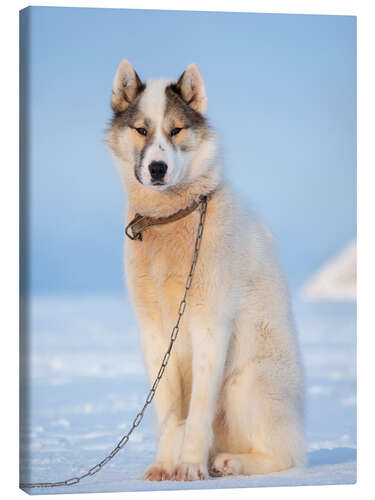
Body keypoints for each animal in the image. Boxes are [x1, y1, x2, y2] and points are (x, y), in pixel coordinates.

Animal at [106, 61, 306, 480]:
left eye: (176, 129)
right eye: (142, 130)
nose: (158, 168)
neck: (172, 219)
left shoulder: (210, 325)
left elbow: (196, 411)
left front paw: (189, 467)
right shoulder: (155, 334)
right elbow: (169, 413)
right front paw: (163, 466)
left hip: (246, 382)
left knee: (288, 456)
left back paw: (230, 462)